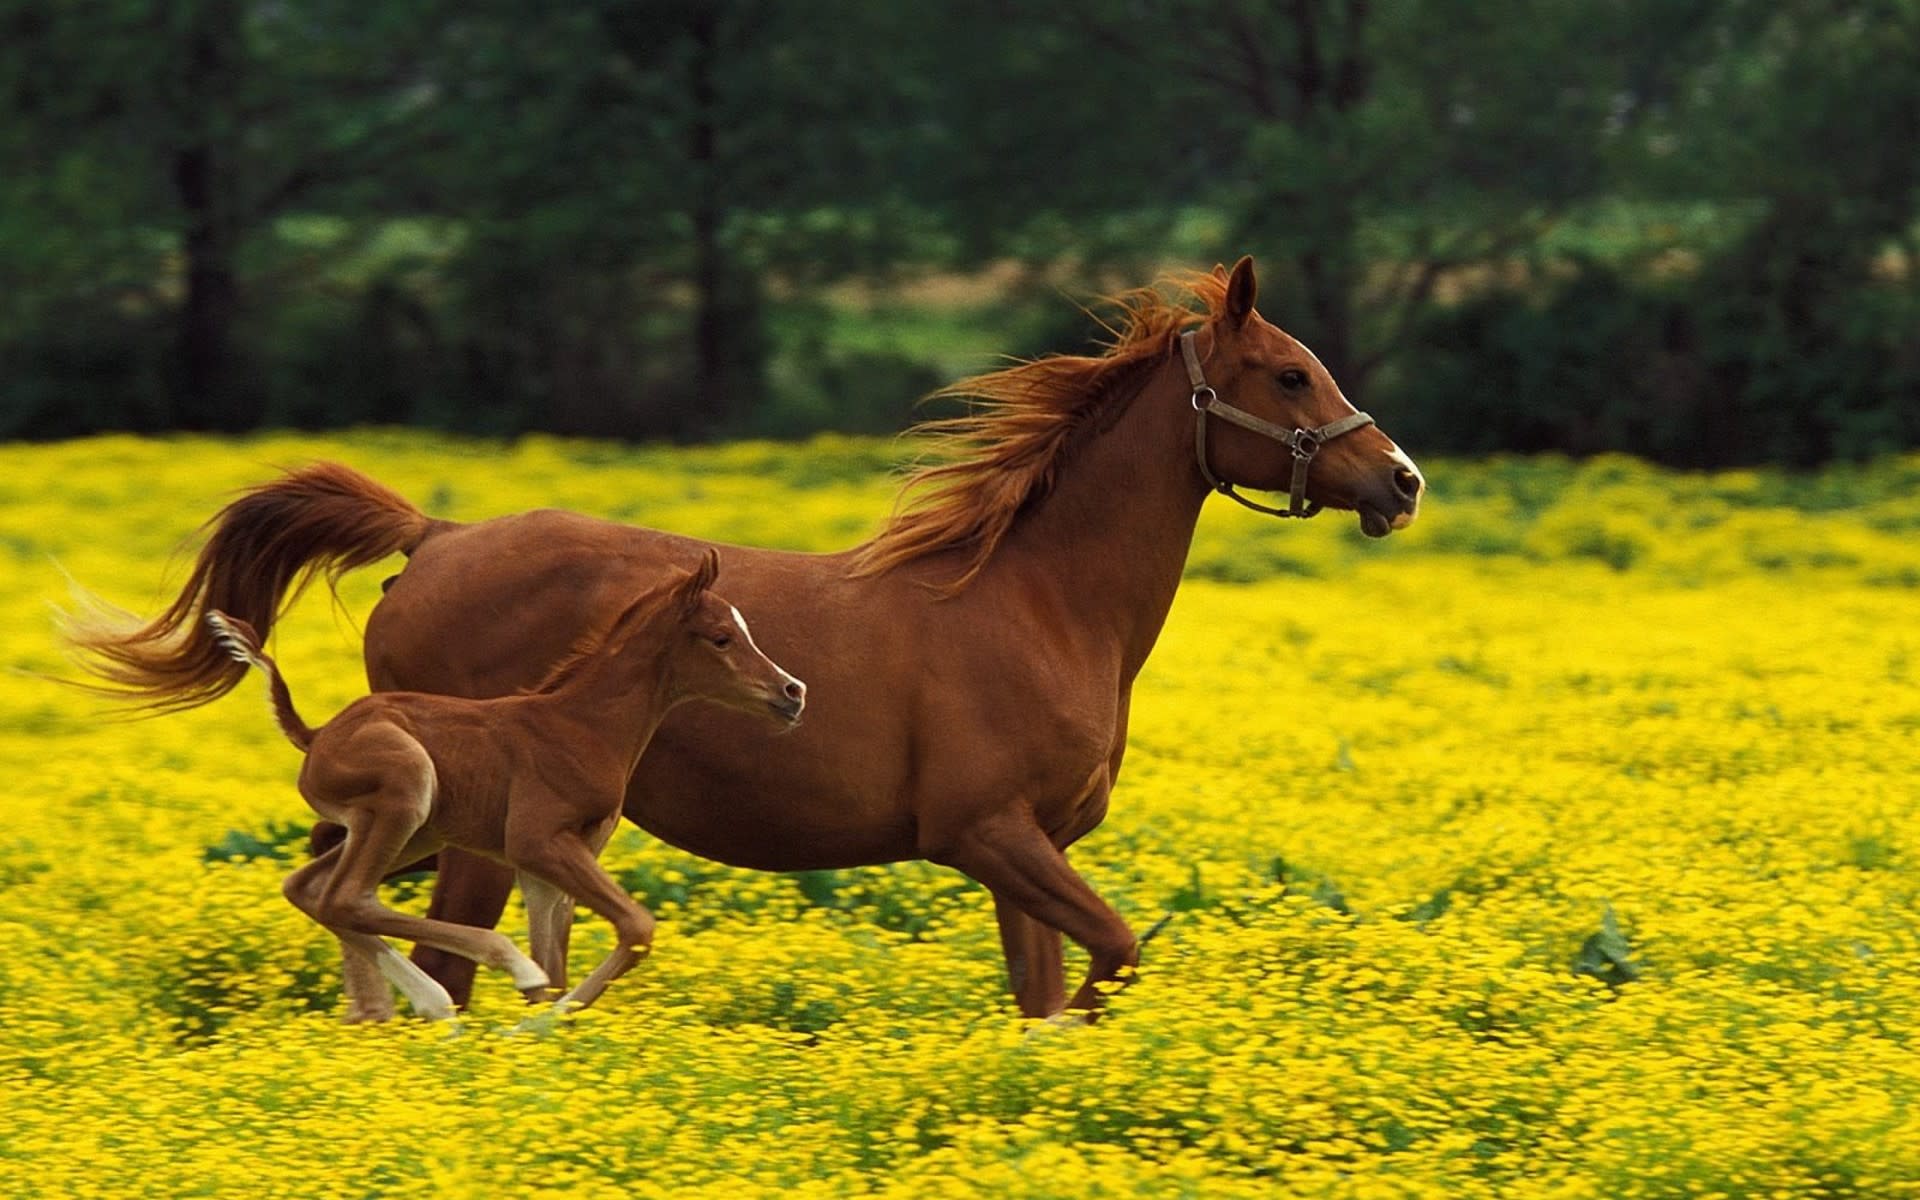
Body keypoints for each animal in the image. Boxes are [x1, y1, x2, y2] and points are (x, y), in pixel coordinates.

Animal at [208, 549, 802, 1013]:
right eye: (721, 638)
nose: (792, 692)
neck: (583, 726)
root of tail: (315, 735)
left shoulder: (551, 862)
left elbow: (560, 960)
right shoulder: (535, 841)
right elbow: (634, 929)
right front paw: (536, 1020)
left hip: (415, 830)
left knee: (311, 889)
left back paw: (429, 1002)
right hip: (406, 790)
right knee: (348, 897)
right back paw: (475, 982)